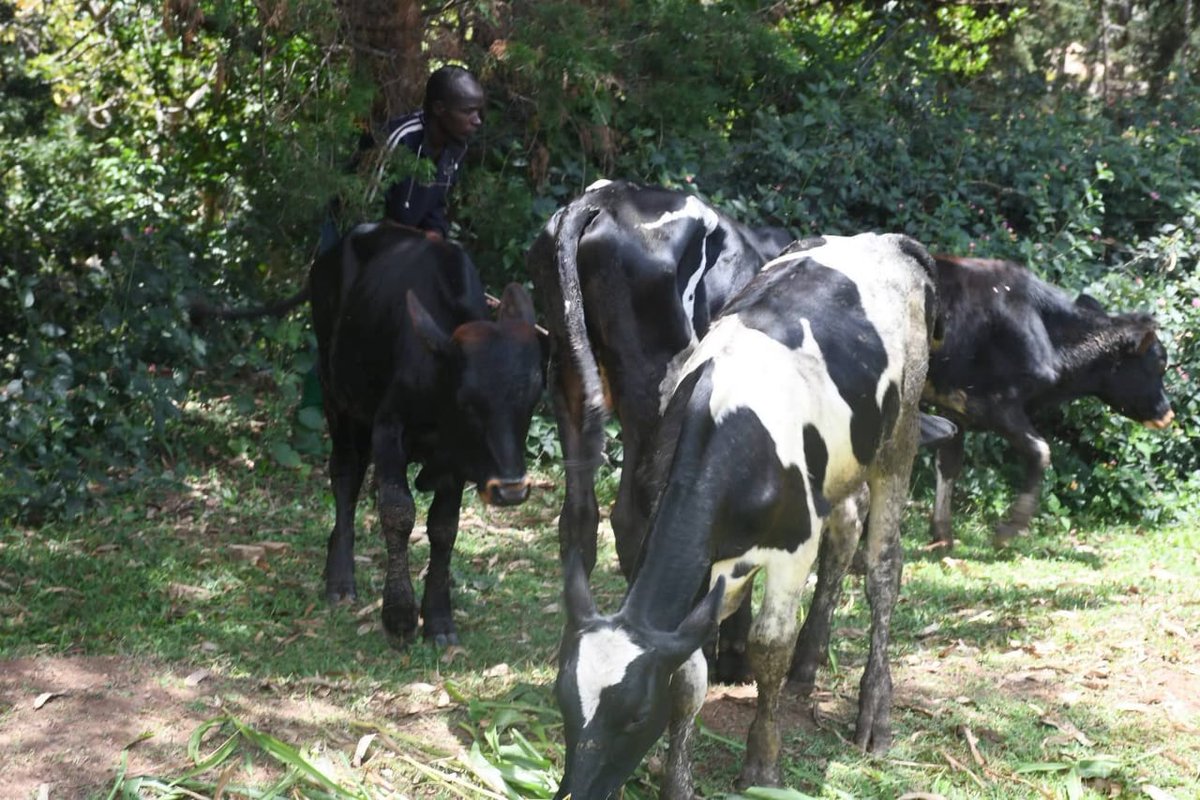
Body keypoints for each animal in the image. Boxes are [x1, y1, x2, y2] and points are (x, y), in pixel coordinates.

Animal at [310, 222, 545, 647]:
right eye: (468, 400)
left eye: (533, 398)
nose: (511, 490)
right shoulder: (388, 431)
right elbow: (398, 511)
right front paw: (400, 615)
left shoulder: (456, 460)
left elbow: (443, 528)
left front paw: (437, 619)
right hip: (335, 395)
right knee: (345, 475)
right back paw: (340, 578)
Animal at [554, 233, 940, 799]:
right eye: (563, 703)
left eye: (635, 715)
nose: (575, 792)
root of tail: (885, 239)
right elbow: (689, 674)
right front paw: (678, 783)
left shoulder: (794, 546)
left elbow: (768, 647)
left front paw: (762, 764)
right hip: (839, 465)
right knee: (846, 531)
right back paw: (809, 662)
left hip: (899, 435)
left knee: (883, 571)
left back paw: (875, 710)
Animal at [923, 255, 1174, 548]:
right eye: (1159, 363)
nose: (1168, 414)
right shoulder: (991, 404)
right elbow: (1041, 451)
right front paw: (1011, 528)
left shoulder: (954, 406)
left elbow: (949, 462)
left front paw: (942, 535)